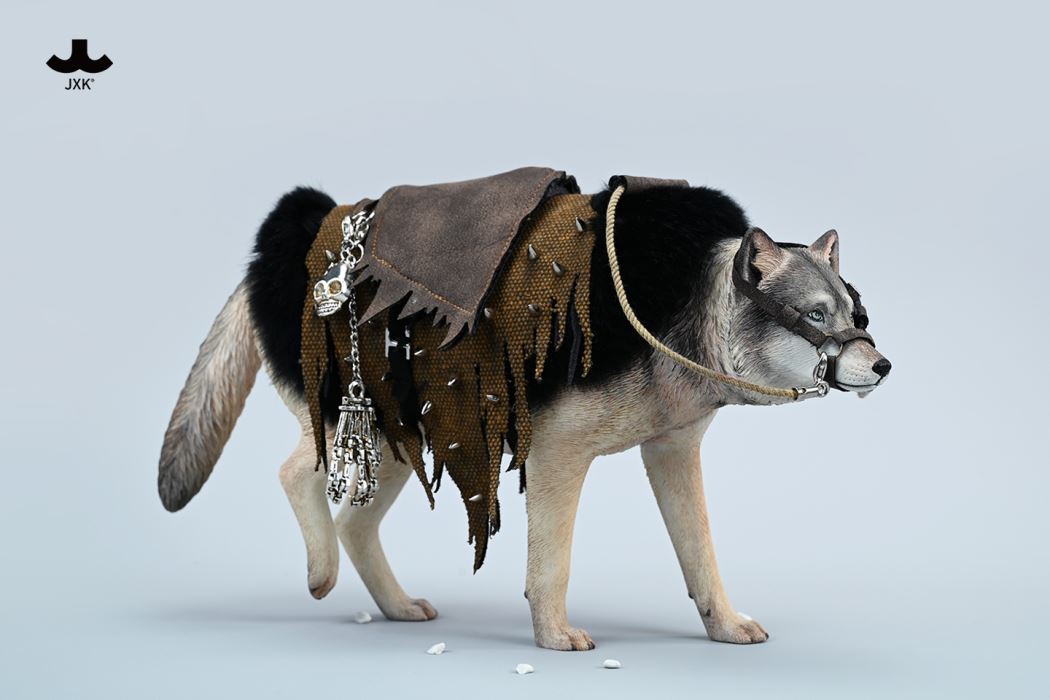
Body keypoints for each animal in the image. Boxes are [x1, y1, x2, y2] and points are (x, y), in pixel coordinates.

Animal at [158, 182, 890, 650]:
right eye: (815, 314)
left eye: (858, 313)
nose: (882, 366)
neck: (686, 308)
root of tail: (280, 240)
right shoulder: (558, 455)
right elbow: (551, 566)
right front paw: (554, 636)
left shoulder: (672, 453)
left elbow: (701, 556)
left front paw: (724, 626)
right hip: (355, 419)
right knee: (296, 477)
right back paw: (320, 573)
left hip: (402, 438)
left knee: (355, 525)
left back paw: (395, 606)